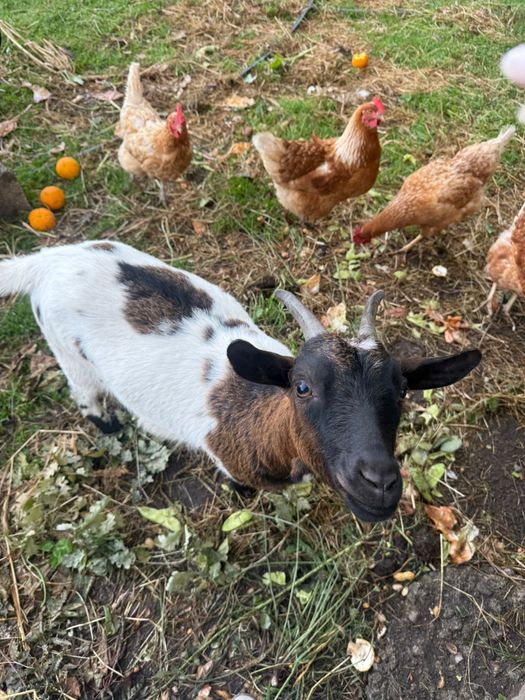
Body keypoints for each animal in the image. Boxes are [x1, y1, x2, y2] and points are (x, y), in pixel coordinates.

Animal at [0, 240, 481, 522]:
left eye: (402, 390)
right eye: (302, 386)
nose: (378, 483)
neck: (256, 411)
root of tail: (49, 260)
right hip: (69, 353)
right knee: (86, 395)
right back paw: (113, 428)